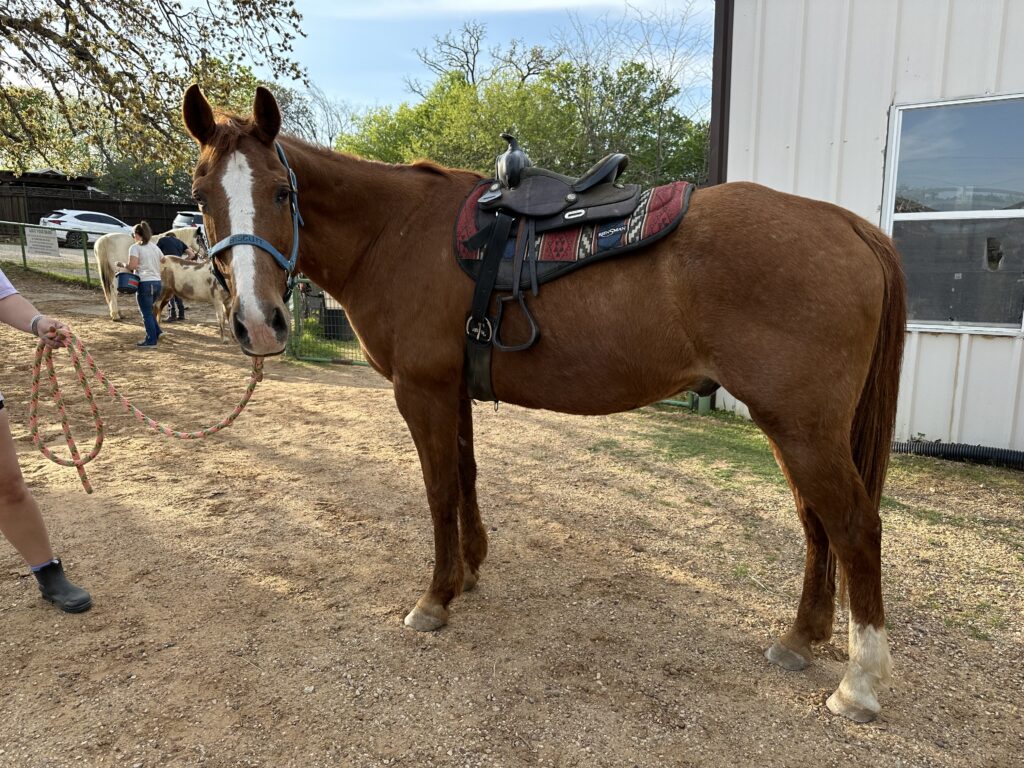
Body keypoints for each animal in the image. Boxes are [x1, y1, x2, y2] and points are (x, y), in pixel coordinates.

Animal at [182, 85, 906, 723]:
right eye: (200, 194)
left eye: (282, 191)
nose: (258, 322)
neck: (395, 232)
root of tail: (846, 223)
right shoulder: (453, 391)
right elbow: (465, 478)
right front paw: (469, 570)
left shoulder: (421, 391)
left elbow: (438, 490)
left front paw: (435, 599)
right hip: (792, 428)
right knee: (817, 524)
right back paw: (800, 638)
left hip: (802, 428)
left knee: (854, 527)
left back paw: (860, 684)